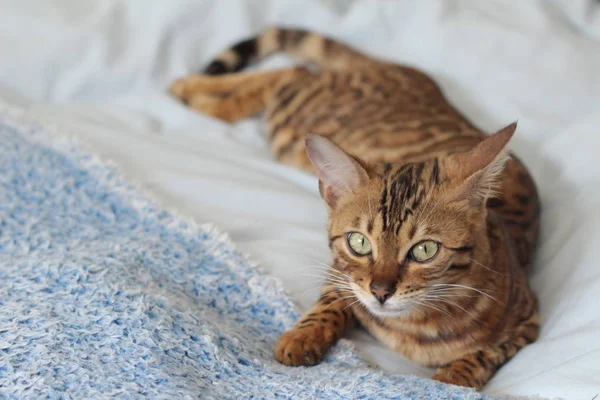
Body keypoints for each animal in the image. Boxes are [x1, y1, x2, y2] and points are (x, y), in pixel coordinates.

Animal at [171, 26, 540, 390]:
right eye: (359, 242)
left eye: (424, 250)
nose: (380, 292)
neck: (415, 327)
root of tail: (395, 67)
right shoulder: (341, 273)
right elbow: (332, 301)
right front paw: (303, 336)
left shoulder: (527, 321)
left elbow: (488, 353)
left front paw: (455, 377)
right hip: (293, 128)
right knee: (292, 74)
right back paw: (195, 92)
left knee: (295, 73)